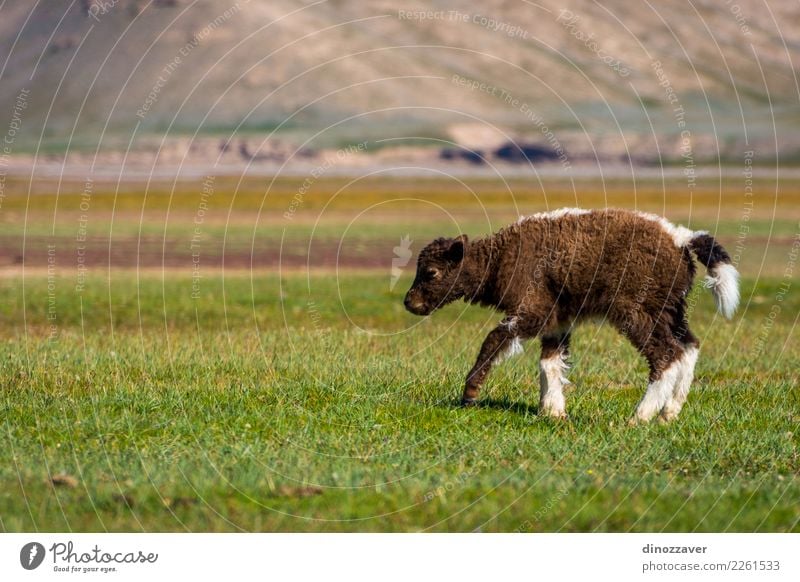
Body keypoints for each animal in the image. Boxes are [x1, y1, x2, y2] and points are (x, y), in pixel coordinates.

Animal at [404, 209, 740, 424]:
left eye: (431, 273)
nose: (409, 302)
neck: (500, 258)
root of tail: (682, 239)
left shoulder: (533, 312)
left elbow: (496, 339)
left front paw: (470, 393)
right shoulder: (558, 319)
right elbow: (550, 362)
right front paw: (553, 411)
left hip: (636, 312)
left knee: (666, 354)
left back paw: (640, 417)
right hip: (670, 310)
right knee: (689, 346)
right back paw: (668, 413)